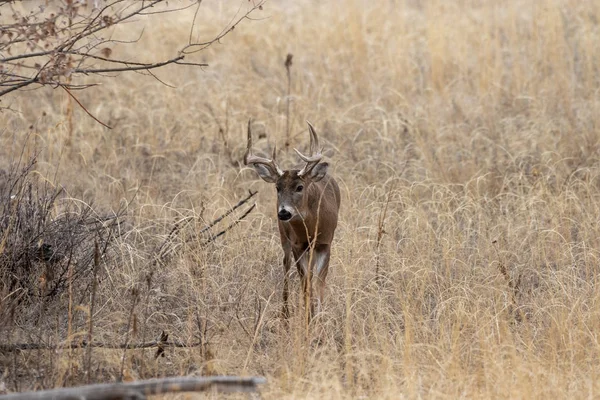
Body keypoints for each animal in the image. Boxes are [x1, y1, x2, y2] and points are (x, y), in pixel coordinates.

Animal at [243, 119, 338, 322]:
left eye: (300, 187)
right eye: (277, 188)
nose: (284, 213)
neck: (310, 227)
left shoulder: (325, 242)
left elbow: (319, 282)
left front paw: (319, 317)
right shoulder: (296, 244)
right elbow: (305, 282)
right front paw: (308, 316)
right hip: (283, 237)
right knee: (286, 268)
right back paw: (285, 313)